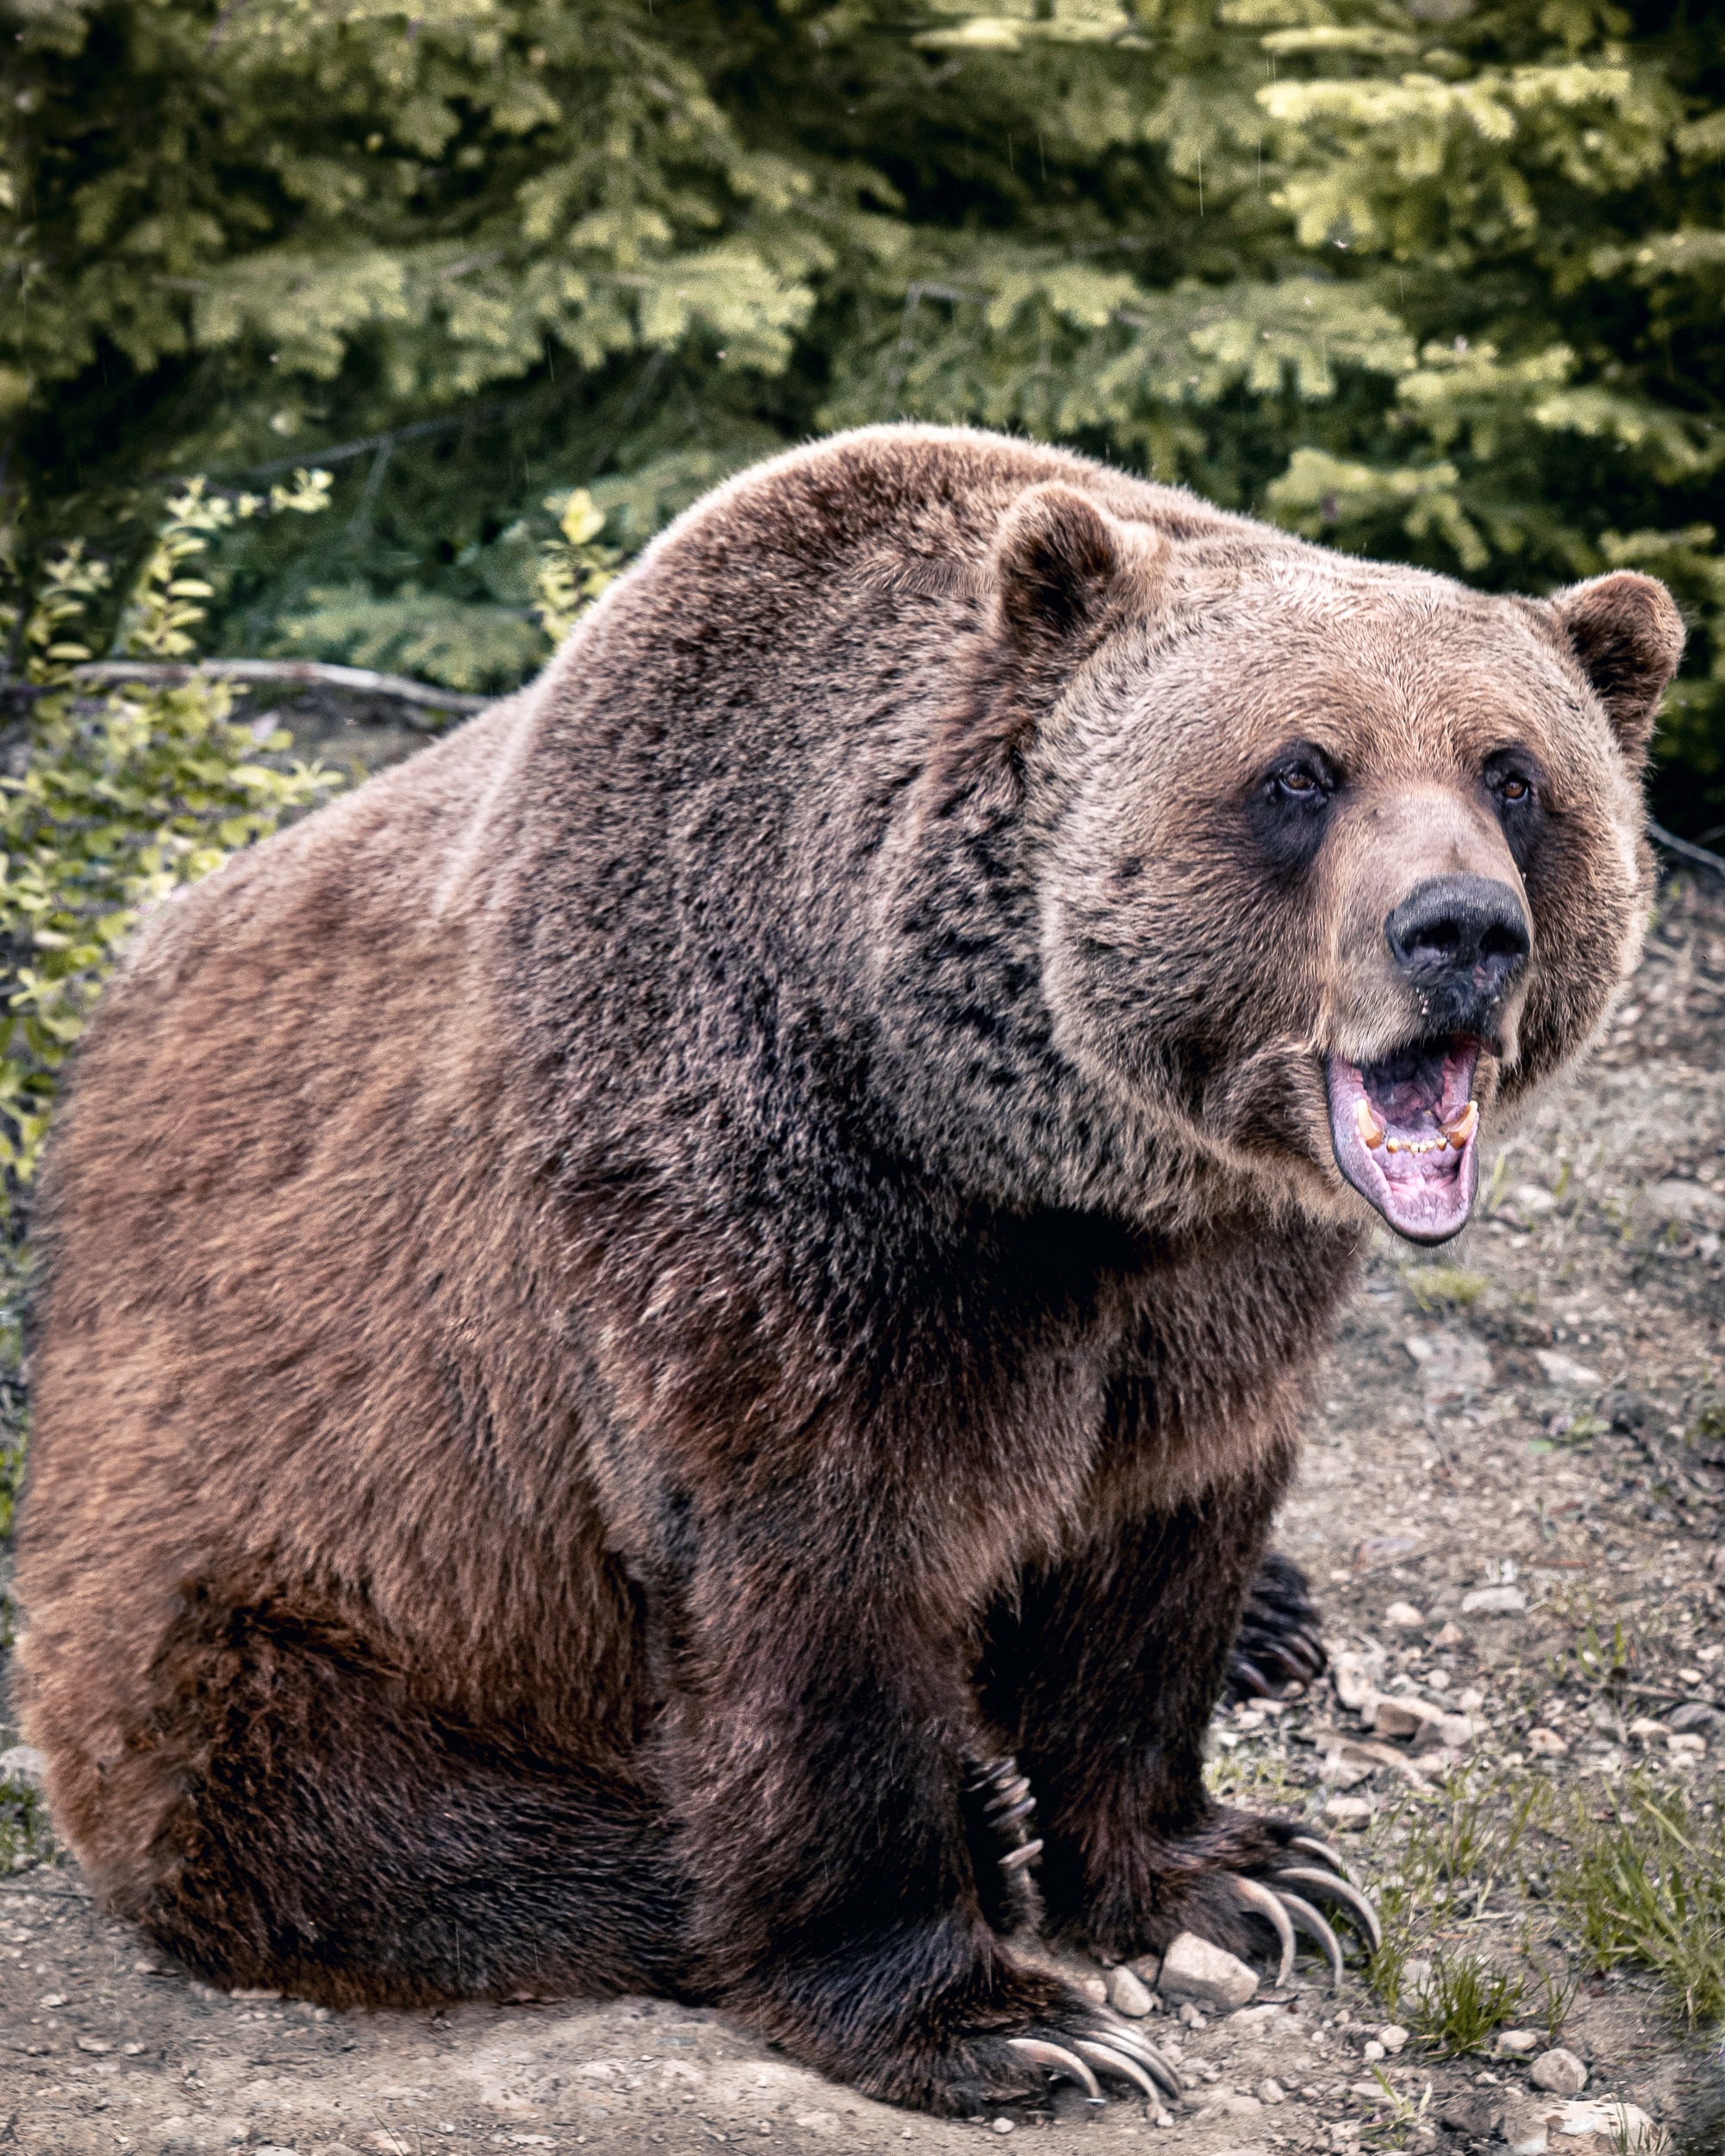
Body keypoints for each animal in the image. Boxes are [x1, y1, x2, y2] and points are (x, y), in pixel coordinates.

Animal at [13, 428, 1681, 2112]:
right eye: (1299, 772)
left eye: (1513, 774)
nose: (1460, 931)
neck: (1042, 1162)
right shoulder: (762, 1214)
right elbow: (815, 1598)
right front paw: (1004, 2015)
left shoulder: (1214, 1292)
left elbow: (1166, 1541)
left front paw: (1248, 1875)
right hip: (271, 1571)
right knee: (355, 1812)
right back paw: (948, 1835)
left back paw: (1260, 1638)